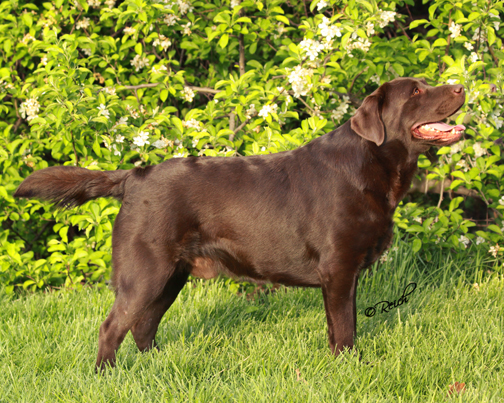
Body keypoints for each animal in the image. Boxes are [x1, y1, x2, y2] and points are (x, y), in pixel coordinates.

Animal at [14, 77, 464, 370]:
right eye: (417, 92)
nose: (461, 87)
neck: (373, 164)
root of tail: (134, 175)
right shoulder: (338, 269)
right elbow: (345, 328)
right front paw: (348, 367)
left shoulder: (344, 274)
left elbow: (340, 326)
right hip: (145, 272)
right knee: (112, 327)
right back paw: (105, 376)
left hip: (171, 274)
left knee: (144, 326)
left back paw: (157, 366)